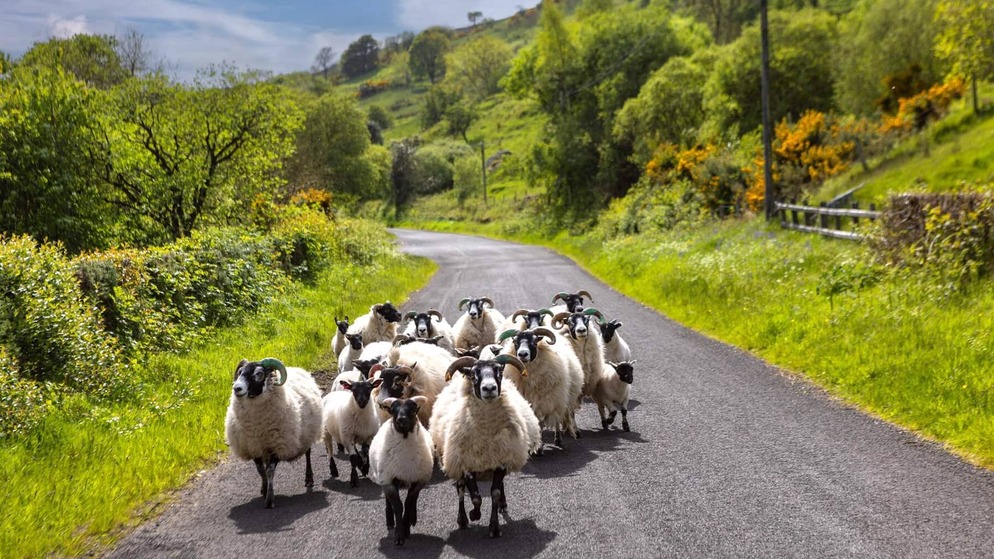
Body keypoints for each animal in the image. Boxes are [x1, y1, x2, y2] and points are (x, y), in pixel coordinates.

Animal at [224, 358, 323, 508]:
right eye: (240, 372)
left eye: (259, 374)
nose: (237, 388)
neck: (257, 426)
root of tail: (298, 369)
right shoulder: (254, 447)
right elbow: (261, 471)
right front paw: (264, 489)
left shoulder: (278, 446)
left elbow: (270, 471)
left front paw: (269, 499)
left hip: (307, 433)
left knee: (308, 454)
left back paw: (309, 478)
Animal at [369, 396, 433, 546]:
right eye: (393, 410)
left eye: (413, 410)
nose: (401, 420)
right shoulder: (389, 481)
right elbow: (397, 506)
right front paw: (399, 535)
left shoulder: (418, 481)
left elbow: (409, 503)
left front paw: (406, 528)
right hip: (384, 477)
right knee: (388, 502)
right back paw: (390, 521)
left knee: (414, 500)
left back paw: (412, 519)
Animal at [429, 355, 541, 538]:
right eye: (474, 374)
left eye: (499, 372)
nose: (489, 388)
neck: (486, 434)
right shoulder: (467, 463)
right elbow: (475, 497)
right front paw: (474, 514)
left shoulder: (501, 460)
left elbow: (494, 492)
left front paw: (494, 527)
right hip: (454, 458)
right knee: (460, 489)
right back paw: (462, 520)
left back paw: (503, 504)